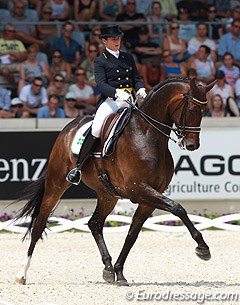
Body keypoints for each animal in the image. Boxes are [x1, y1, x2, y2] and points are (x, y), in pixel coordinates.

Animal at [13, 76, 216, 284]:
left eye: (204, 111)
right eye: (192, 109)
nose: (191, 145)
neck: (147, 136)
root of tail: (70, 127)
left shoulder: (149, 197)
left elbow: (132, 234)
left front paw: (119, 272)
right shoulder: (138, 190)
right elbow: (178, 208)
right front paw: (203, 248)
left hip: (108, 195)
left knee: (94, 224)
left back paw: (108, 269)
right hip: (56, 183)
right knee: (39, 224)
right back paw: (22, 273)